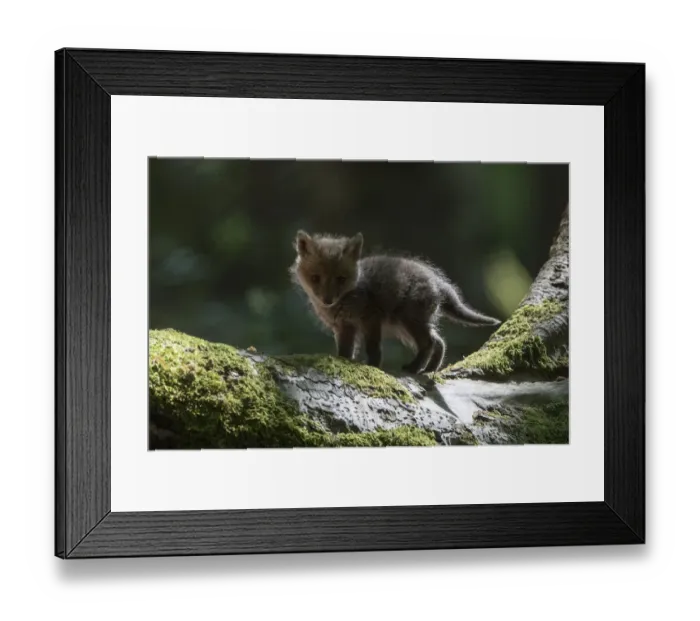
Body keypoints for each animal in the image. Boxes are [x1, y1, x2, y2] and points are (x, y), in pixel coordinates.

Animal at [289, 230, 502, 374]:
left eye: (341, 279)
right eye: (315, 278)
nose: (327, 300)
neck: (352, 292)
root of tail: (437, 280)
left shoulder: (370, 319)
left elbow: (373, 348)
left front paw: (373, 367)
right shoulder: (344, 327)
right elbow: (344, 352)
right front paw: (343, 364)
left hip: (408, 321)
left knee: (429, 343)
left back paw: (414, 368)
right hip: (407, 326)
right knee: (439, 342)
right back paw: (429, 370)